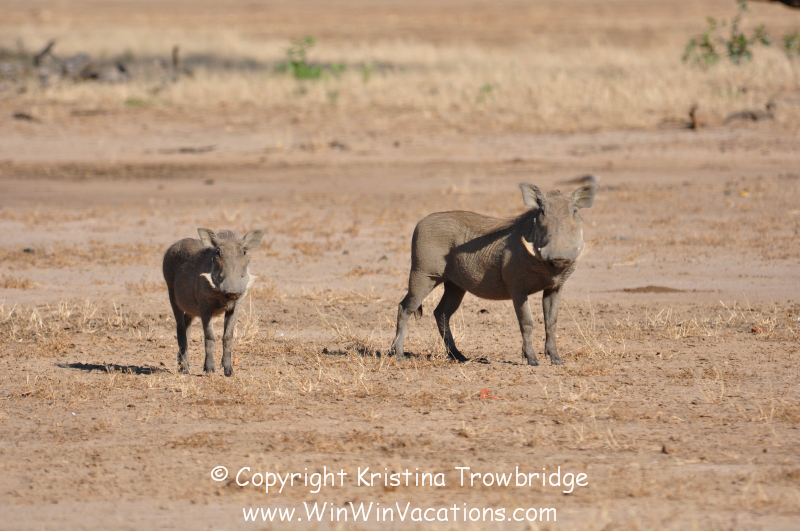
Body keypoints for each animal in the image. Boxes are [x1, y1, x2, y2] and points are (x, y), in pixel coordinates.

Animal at [162, 228, 265, 376]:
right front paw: (209, 369)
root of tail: (173, 246)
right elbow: (210, 336)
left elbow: (228, 336)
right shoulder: (205, 306)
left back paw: (182, 363)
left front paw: (228, 371)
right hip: (173, 296)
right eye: (218, 252)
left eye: (244, 251)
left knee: (187, 326)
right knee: (180, 328)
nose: (232, 291)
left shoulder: (235, 307)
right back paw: (184, 368)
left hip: (191, 308)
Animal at [390, 182, 597, 366]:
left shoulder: (555, 288)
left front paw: (556, 360)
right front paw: (532, 360)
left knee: (441, 313)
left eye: (575, 211)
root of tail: (420, 223)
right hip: (423, 275)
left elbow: (551, 322)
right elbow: (527, 322)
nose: (558, 256)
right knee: (405, 307)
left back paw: (458, 356)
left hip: (455, 286)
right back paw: (398, 354)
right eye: (542, 211)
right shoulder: (518, 289)